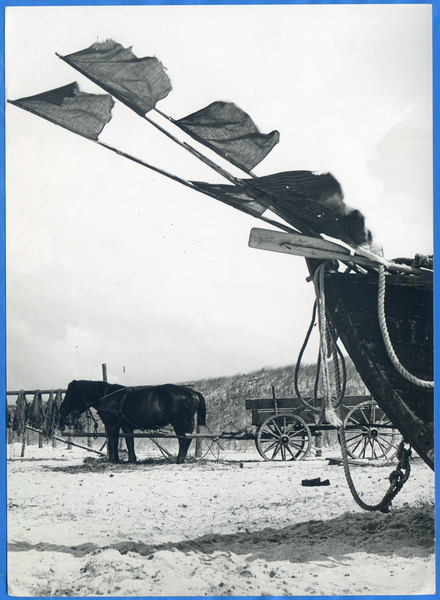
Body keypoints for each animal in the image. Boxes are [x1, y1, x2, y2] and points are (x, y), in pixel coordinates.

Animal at [58, 380, 206, 464]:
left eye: (70, 393)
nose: (61, 410)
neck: (107, 396)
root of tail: (190, 392)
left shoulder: (112, 425)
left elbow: (113, 441)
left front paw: (113, 460)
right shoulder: (126, 426)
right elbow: (129, 442)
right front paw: (131, 459)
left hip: (180, 423)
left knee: (184, 440)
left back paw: (179, 460)